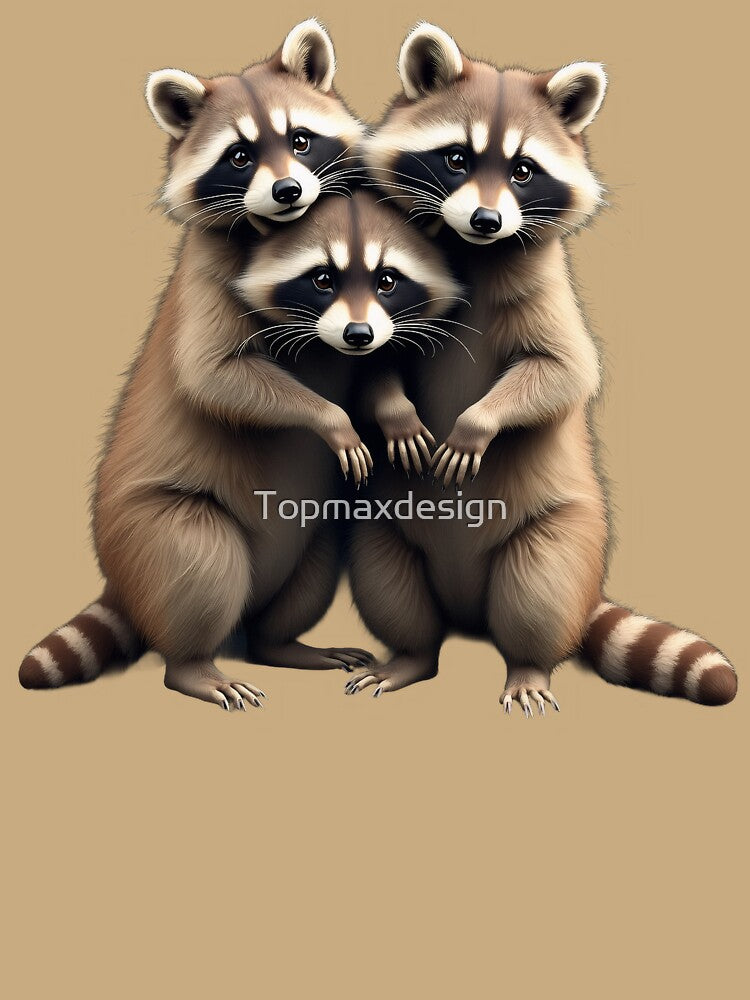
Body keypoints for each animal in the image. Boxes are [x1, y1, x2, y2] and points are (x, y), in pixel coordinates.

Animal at [19, 188, 458, 709]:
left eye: (387, 280)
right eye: (323, 279)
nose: (358, 334)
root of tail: (123, 582)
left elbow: (375, 373)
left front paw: (395, 413)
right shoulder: (209, 292)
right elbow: (215, 376)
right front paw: (332, 421)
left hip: (303, 537)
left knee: (311, 567)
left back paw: (278, 644)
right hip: (147, 527)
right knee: (201, 560)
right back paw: (192, 666)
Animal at [345, 24, 737, 710]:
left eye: (524, 171)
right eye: (456, 159)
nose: (486, 220)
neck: (471, 250)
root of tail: (468, 617)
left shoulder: (548, 288)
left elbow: (565, 370)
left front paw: (478, 423)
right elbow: (372, 362)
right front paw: (395, 411)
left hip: (561, 531)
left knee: (538, 595)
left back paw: (527, 667)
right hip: (382, 528)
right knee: (391, 588)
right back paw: (411, 656)